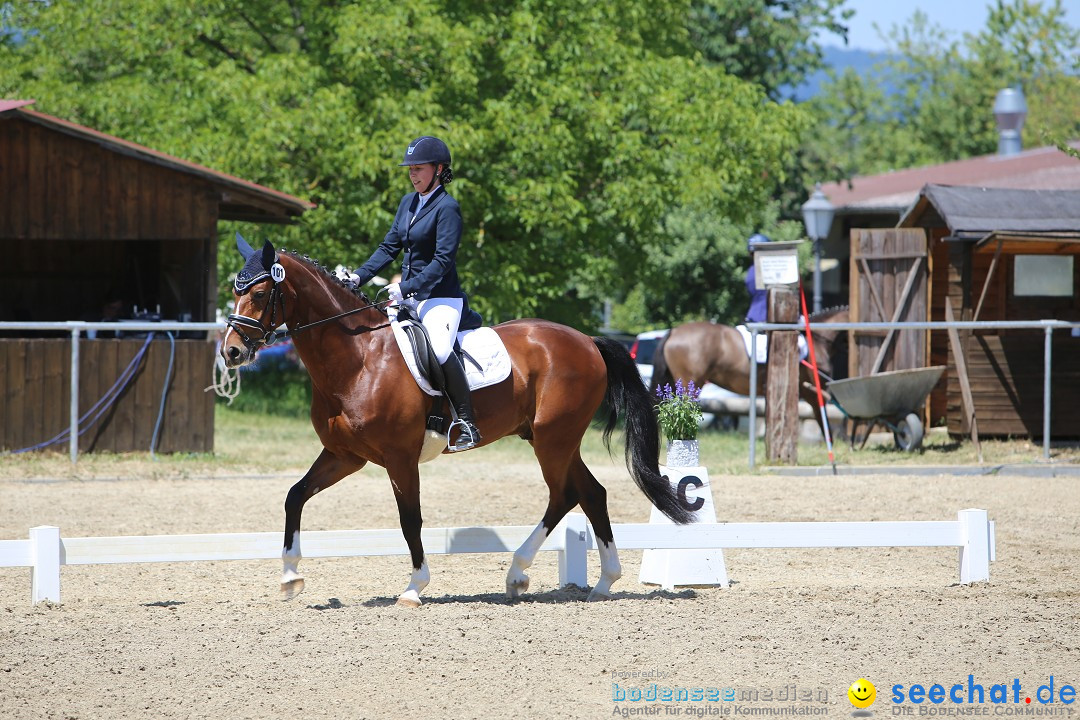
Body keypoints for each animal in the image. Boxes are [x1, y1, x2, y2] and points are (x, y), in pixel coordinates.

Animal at [219, 237, 691, 608]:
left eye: (259, 294)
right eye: (235, 291)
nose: (232, 352)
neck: (358, 359)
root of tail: (587, 341)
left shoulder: (399, 458)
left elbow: (410, 520)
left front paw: (414, 588)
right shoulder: (345, 456)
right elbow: (294, 496)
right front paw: (290, 577)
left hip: (553, 439)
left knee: (565, 494)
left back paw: (521, 574)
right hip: (552, 438)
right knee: (590, 493)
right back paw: (599, 582)